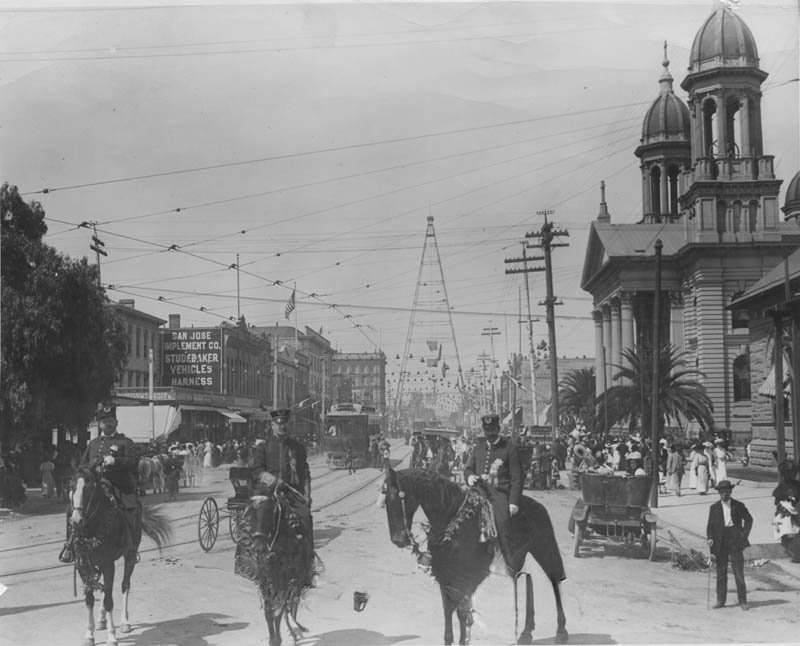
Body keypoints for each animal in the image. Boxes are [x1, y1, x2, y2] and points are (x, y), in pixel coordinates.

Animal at [71, 468, 173, 644]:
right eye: (71, 488)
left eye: (89, 488)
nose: (76, 520)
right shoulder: (84, 566)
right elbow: (90, 599)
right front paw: (89, 635)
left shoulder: (108, 564)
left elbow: (109, 601)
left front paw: (112, 636)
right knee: (105, 589)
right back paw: (101, 620)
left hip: (129, 557)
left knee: (125, 585)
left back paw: (125, 622)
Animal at [234, 492, 316, 646]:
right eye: (250, 515)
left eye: (270, 514)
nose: (258, 547)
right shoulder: (264, 577)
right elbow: (268, 609)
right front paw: (273, 638)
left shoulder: (285, 577)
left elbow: (279, 607)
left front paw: (278, 638)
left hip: (299, 575)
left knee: (292, 599)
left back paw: (295, 628)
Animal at [382, 470, 568, 646]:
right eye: (386, 501)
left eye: (401, 496)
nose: (399, 540)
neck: (452, 522)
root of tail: (538, 505)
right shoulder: (445, 575)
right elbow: (448, 610)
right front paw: (450, 640)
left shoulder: (467, 578)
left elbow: (462, 612)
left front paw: (463, 640)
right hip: (520, 560)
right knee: (529, 583)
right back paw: (526, 634)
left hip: (544, 550)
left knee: (554, 582)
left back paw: (561, 632)